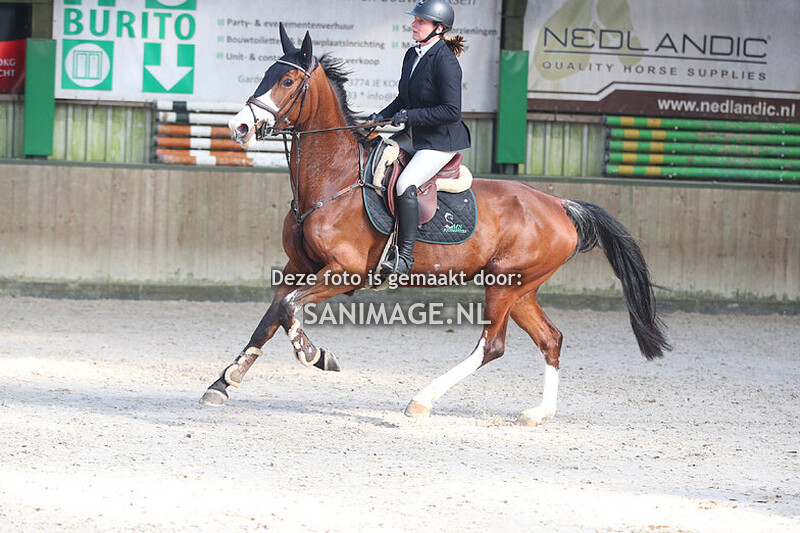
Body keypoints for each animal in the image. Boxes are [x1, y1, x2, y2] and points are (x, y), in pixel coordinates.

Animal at [199, 24, 671, 426]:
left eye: (287, 81)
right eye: (266, 74)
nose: (238, 127)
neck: (333, 179)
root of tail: (559, 203)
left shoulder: (345, 272)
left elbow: (290, 309)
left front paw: (316, 356)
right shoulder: (297, 266)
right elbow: (273, 314)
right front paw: (224, 383)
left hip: (505, 285)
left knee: (491, 346)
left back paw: (421, 400)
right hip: (521, 289)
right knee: (550, 338)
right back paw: (539, 413)